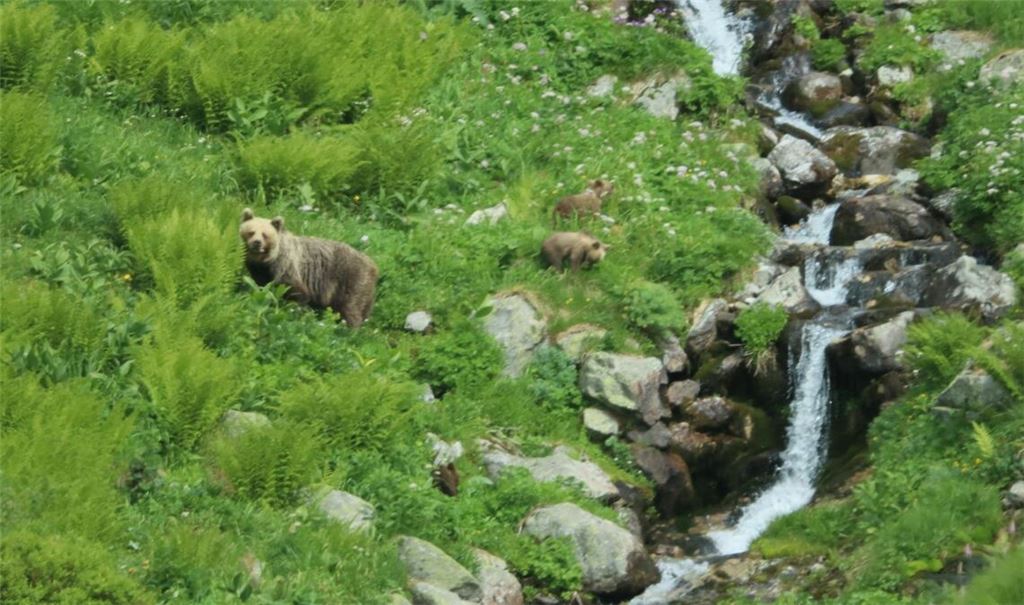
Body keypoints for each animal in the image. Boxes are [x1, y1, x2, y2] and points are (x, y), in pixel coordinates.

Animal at [239, 208, 379, 328]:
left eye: (265, 234)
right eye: (251, 232)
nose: (257, 243)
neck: (267, 260)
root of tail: (373, 265)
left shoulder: (286, 265)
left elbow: (296, 291)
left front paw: (294, 312)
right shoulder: (259, 270)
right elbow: (261, 286)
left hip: (351, 279)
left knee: (350, 307)